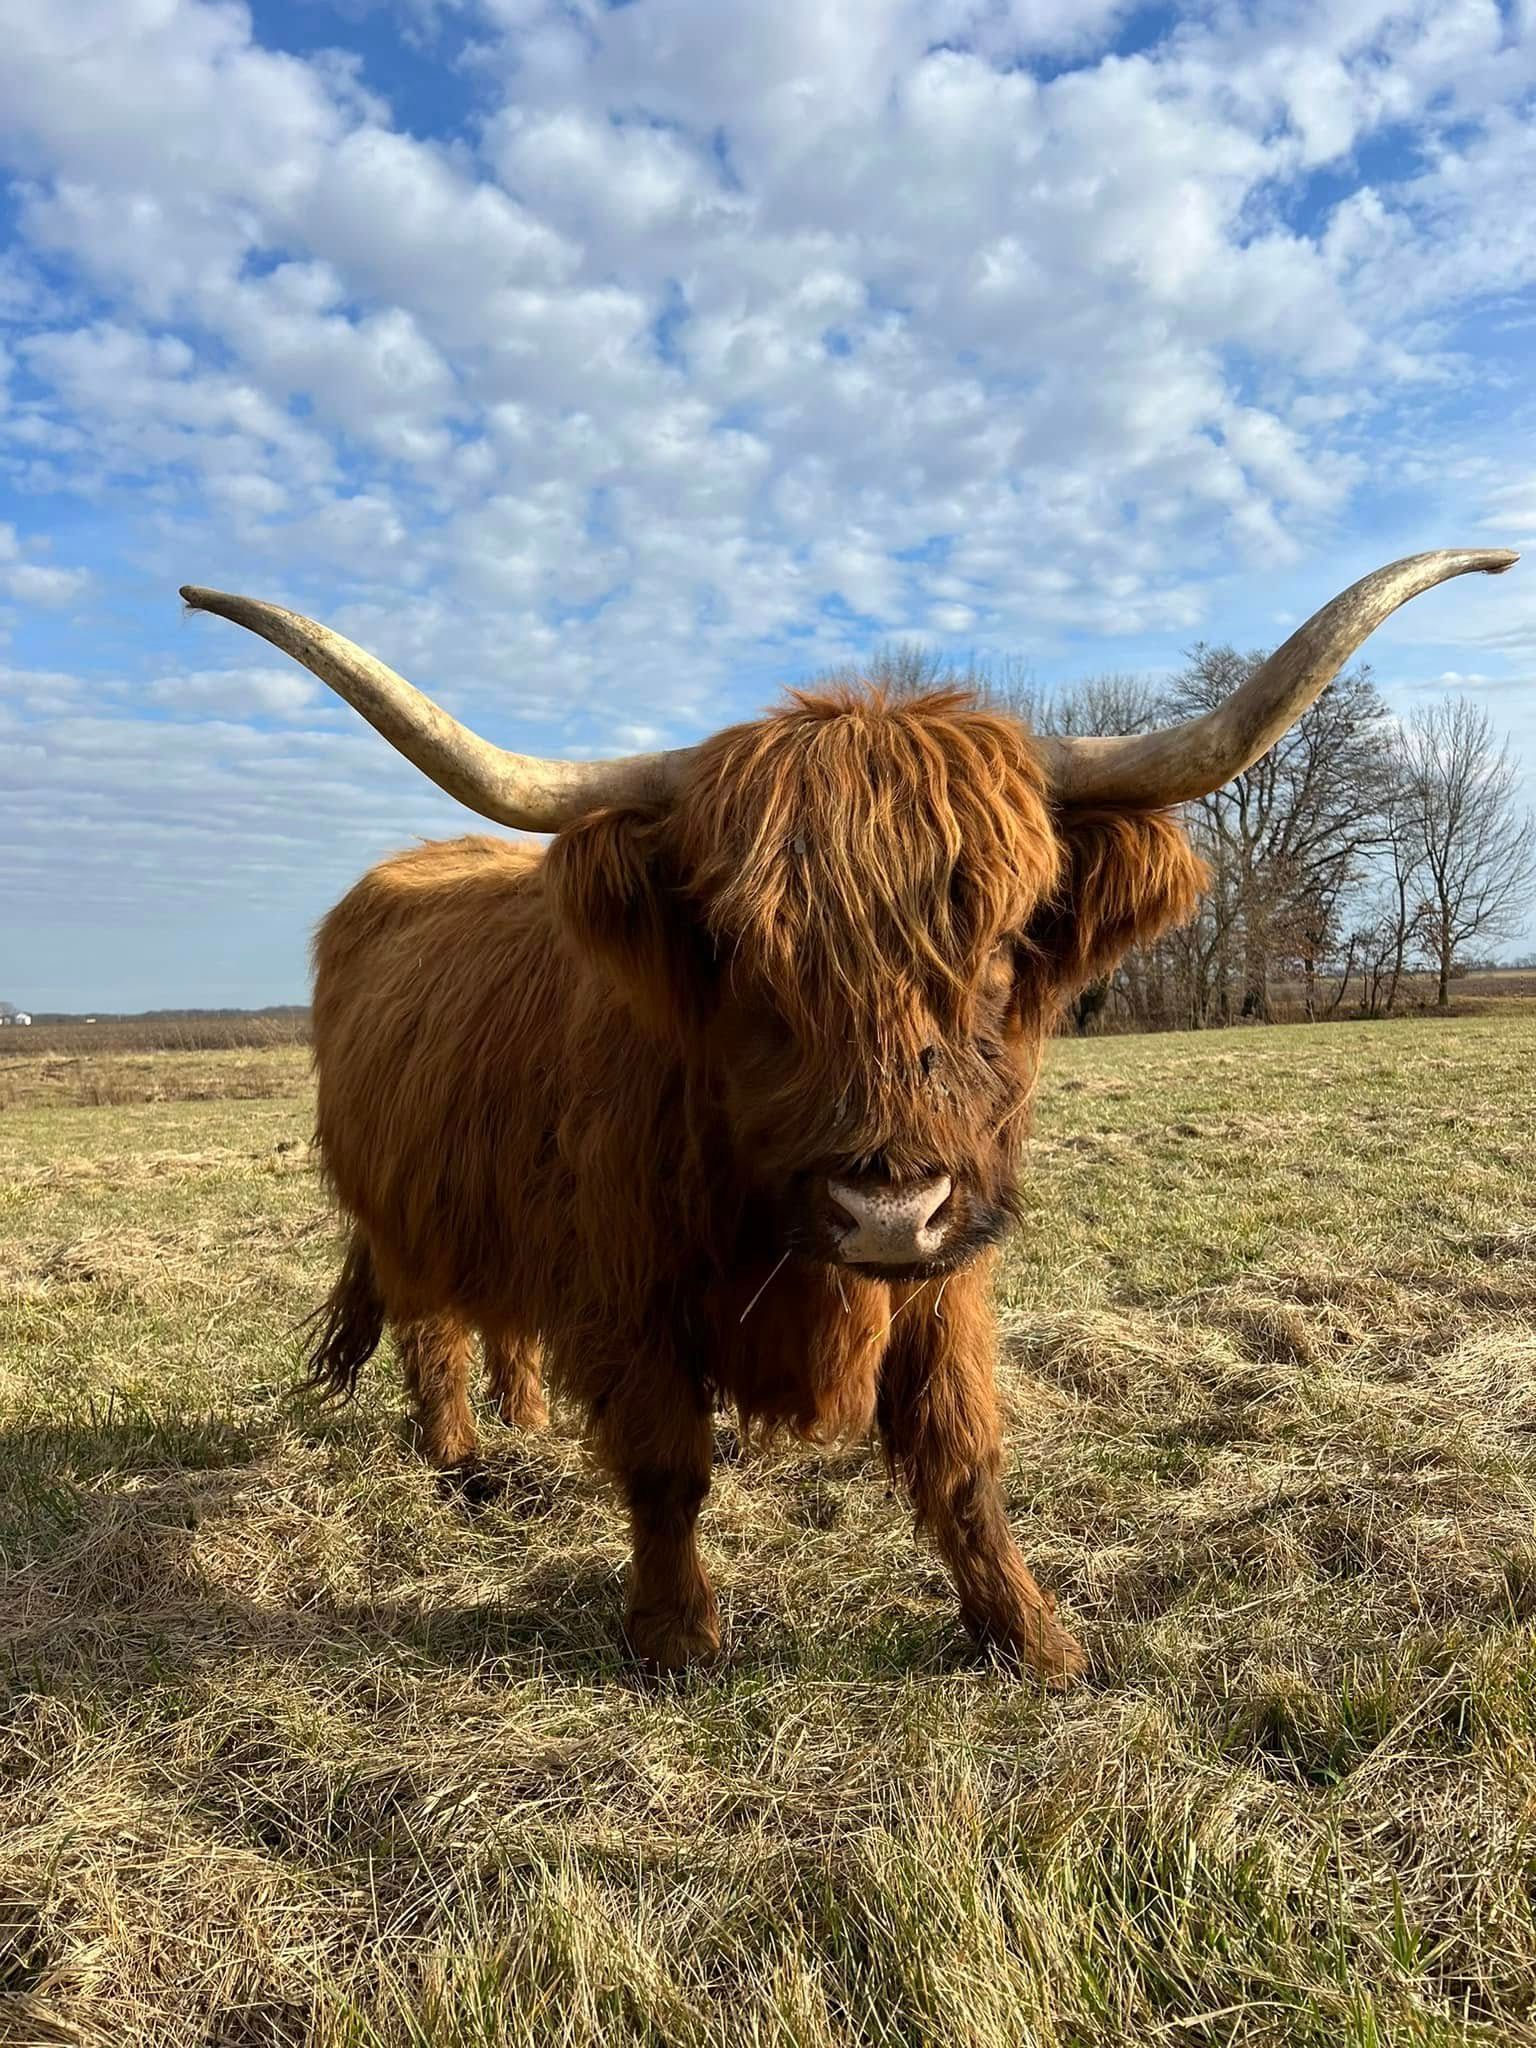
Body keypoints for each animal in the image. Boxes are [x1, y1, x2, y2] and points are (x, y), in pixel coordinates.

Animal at [184, 547, 1515, 1682]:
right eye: (742, 952)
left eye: (1005, 937)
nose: (886, 1202)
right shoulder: (630, 1286)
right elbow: (666, 1464)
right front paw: (676, 1636)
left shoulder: (947, 1265)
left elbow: (962, 1455)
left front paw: (1031, 1636)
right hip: (406, 1215)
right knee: (434, 1330)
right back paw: (465, 1460)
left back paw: (528, 1420)